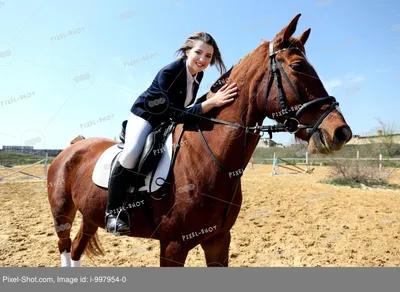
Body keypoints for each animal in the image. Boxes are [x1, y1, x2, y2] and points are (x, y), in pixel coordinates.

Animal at [48, 14, 352, 268]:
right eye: (298, 66)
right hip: (63, 215)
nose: (341, 133)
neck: (210, 159)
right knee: (65, 249)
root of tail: (72, 148)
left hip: (90, 215)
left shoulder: (219, 240)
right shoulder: (173, 246)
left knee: (77, 249)